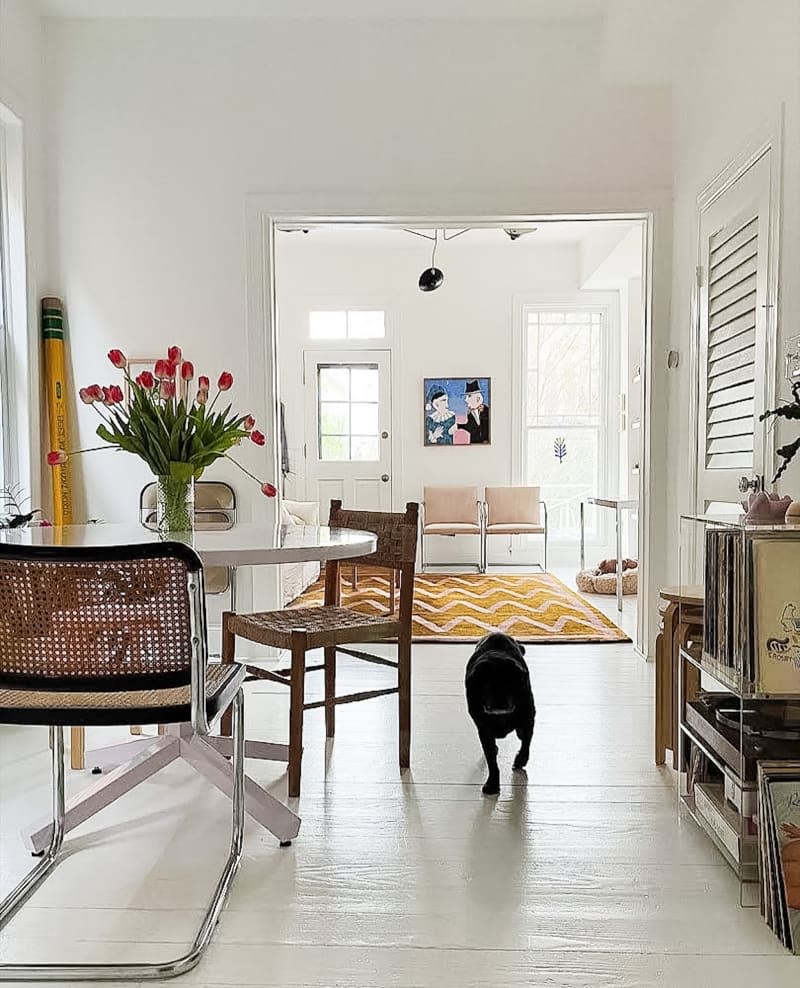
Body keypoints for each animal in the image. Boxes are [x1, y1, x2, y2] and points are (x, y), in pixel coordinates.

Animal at [462, 632, 536, 796]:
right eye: (486, 683)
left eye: (510, 683)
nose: (499, 703)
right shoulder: (484, 729)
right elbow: (491, 760)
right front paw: (492, 785)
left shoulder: (528, 719)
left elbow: (526, 743)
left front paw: (520, 760)